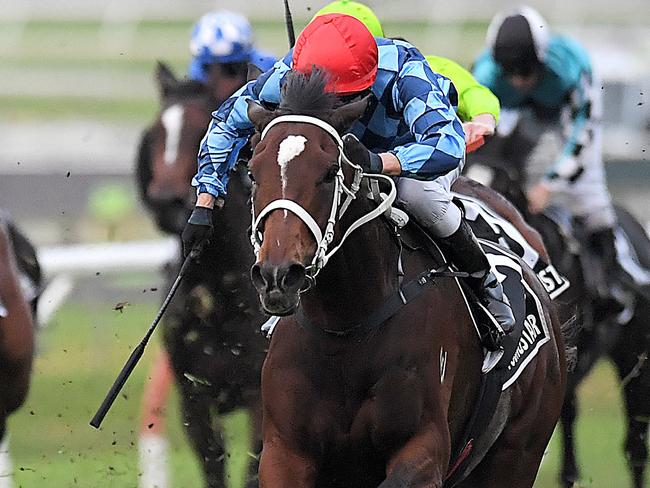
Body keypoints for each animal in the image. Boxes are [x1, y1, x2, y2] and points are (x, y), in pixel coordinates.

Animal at [135, 63, 268, 486]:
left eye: (199, 131)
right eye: (156, 134)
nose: (167, 202)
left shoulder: (259, 393)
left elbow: (255, 467)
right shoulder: (194, 395)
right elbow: (213, 463)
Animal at [243, 69, 568, 488]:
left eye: (329, 173)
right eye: (253, 172)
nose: (279, 275)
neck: (344, 326)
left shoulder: (423, 448)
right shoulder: (284, 452)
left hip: (518, 452)